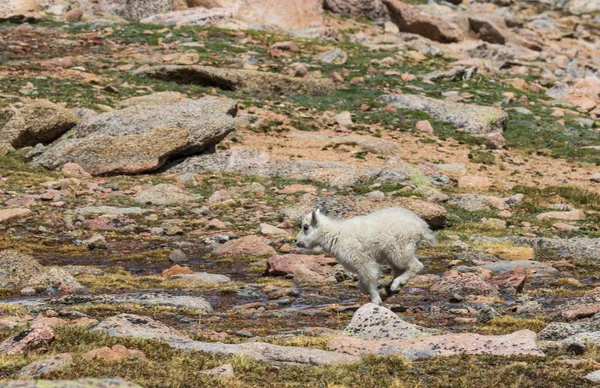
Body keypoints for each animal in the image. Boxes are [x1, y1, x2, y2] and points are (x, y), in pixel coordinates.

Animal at [296, 208, 436, 304]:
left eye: (305, 227)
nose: (296, 241)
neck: (336, 235)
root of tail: (421, 227)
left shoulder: (363, 261)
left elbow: (369, 280)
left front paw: (376, 301)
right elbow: (362, 285)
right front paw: (378, 295)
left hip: (400, 249)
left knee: (415, 265)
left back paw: (396, 285)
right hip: (392, 254)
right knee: (399, 270)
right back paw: (389, 289)